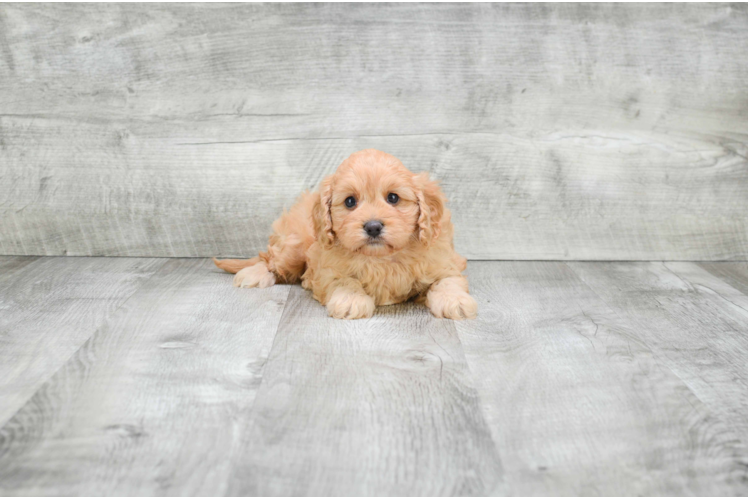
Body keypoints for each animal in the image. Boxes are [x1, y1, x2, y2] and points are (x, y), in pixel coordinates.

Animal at [213, 148, 476, 320]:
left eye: (393, 198)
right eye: (350, 202)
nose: (373, 226)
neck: (382, 258)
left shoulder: (444, 263)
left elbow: (448, 281)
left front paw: (455, 301)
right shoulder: (325, 270)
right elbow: (345, 281)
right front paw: (351, 300)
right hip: (295, 246)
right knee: (270, 259)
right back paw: (253, 274)